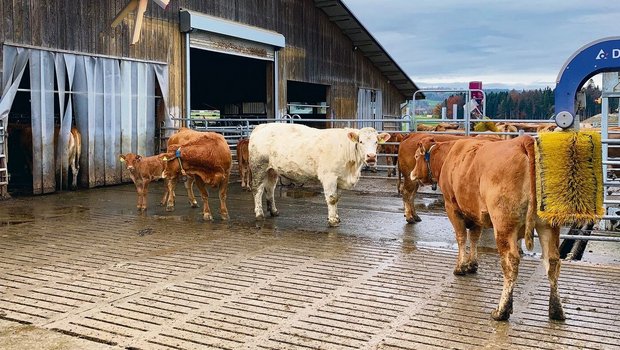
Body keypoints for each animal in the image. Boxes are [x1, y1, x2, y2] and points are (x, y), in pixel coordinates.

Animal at [249, 123, 390, 227]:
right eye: (361, 142)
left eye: (376, 142)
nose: (371, 157)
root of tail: (261, 126)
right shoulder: (329, 177)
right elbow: (332, 199)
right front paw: (333, 221)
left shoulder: (339, 178)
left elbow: (337, 198)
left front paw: (336, 217)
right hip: (258, 167)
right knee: (257, 189)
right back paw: (259, 214)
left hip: (272, 170)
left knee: (270, 189)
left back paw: (274, 211)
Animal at [412, 135, 568, 322]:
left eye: (416, 157)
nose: (412, 174)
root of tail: (523, 140)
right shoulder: (476, 214)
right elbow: (474, 237)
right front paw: (472, 264)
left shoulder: (452, 207)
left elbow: (461, 237)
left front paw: (460, 267)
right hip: (548, 225)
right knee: (552, 261)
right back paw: (556, 311)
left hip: (503, 224)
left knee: (510, 263)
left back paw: (501, 311)